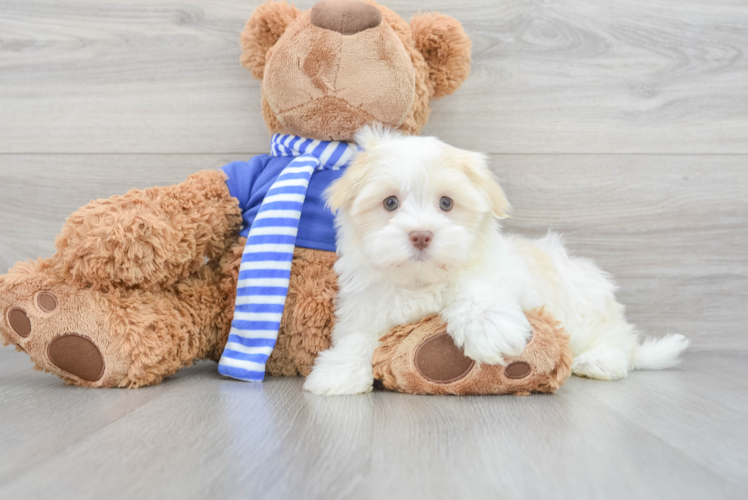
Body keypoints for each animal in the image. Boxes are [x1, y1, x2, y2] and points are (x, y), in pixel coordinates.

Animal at [300, 125, 688, 394]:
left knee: (616, 336)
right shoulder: (365, 306)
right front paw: (338, 372)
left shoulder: (505, 276)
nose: (421, 235)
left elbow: (479, 288)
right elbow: (358, 337)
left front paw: (489, 329)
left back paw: (599, 360)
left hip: (584, 308)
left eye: (446, 203)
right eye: (390, 203)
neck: (420, 281)